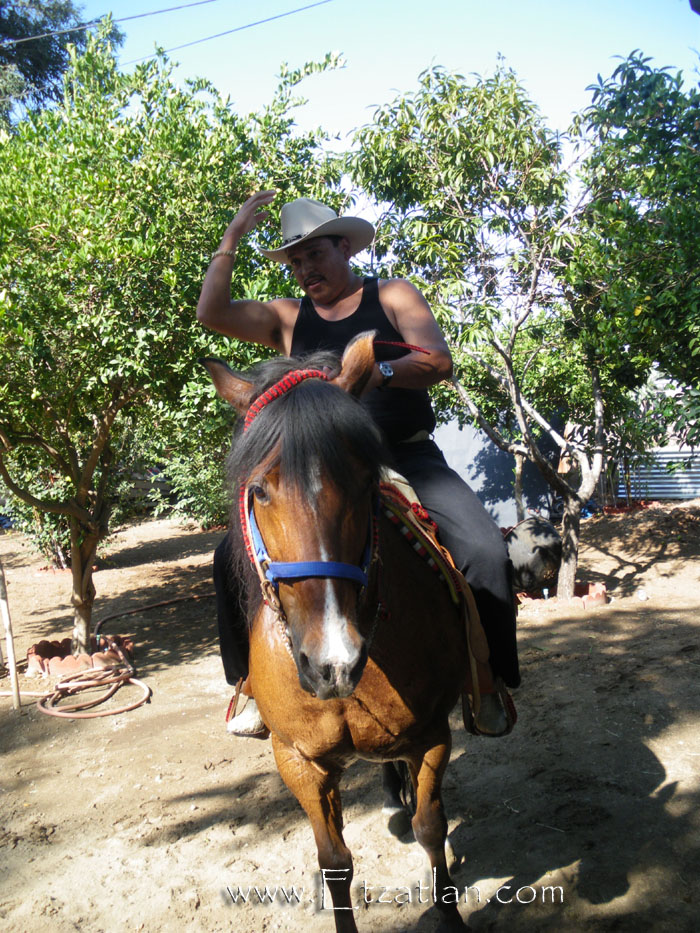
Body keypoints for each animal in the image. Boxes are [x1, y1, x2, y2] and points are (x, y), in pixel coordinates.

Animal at [203, 332, 471, 932]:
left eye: (366, 481)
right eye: (259, 490)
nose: (333, 662)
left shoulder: (433, 737)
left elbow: (430, 828)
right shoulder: (298, 760)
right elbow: (334, 862)